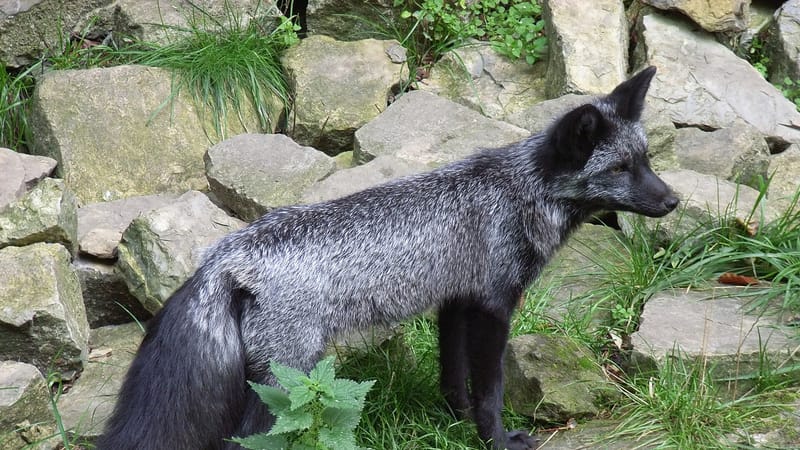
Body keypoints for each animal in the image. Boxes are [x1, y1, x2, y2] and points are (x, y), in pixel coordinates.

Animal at [97, 66, 677, 450]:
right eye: (620, 168)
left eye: (646, 160)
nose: (673, 201)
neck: (516, 193)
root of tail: (223, 256)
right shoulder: (493, 306)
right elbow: (490, 392)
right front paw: (495, 440)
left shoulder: (455, 303)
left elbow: (455, 379)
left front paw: (454, 422)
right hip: (285, 381)